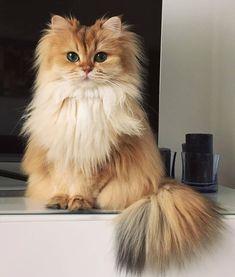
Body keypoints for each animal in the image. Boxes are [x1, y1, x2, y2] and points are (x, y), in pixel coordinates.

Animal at [22, 15, 224, 274]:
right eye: (72, 57)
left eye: (100, 57)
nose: (86, 69)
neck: (85, 102)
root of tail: (161, 181)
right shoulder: (61, 154)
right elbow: (64, 181)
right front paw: (61, 200)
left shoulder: (104, 158)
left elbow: (86, 186)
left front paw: (79, 202)